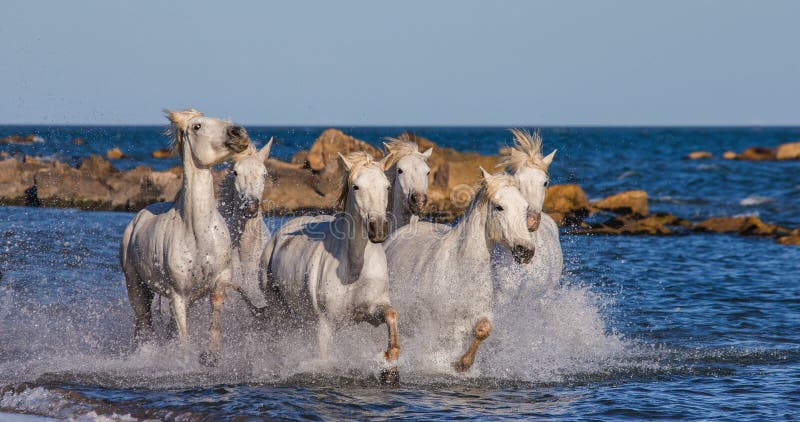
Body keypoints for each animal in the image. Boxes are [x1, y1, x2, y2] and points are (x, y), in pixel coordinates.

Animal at [119, 109, 247, 366]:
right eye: (197, 126)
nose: (239, 133)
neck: (198, 234)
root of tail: (137, 217)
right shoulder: (177, 293)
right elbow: (183, 333)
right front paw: (186, 361)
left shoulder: (219, 279)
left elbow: (215, 308)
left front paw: (211, 354)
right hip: (135, 285)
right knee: (144, 321)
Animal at [260, 151, 400, 382]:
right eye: (356, 187)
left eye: (387, 186)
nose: (378, 229)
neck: (354, 268)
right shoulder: (325, 324)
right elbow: (324, 358)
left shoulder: (372, 310)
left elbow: (391, 315)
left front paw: (390, 362)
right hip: (278, 308)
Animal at [384, 168, 536, 372]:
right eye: (499, 207)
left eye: (525, 207)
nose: (525, 250)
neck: (461, 272)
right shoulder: (435, 325)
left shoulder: (478, 315)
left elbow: (484, 329)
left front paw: (462, 363)